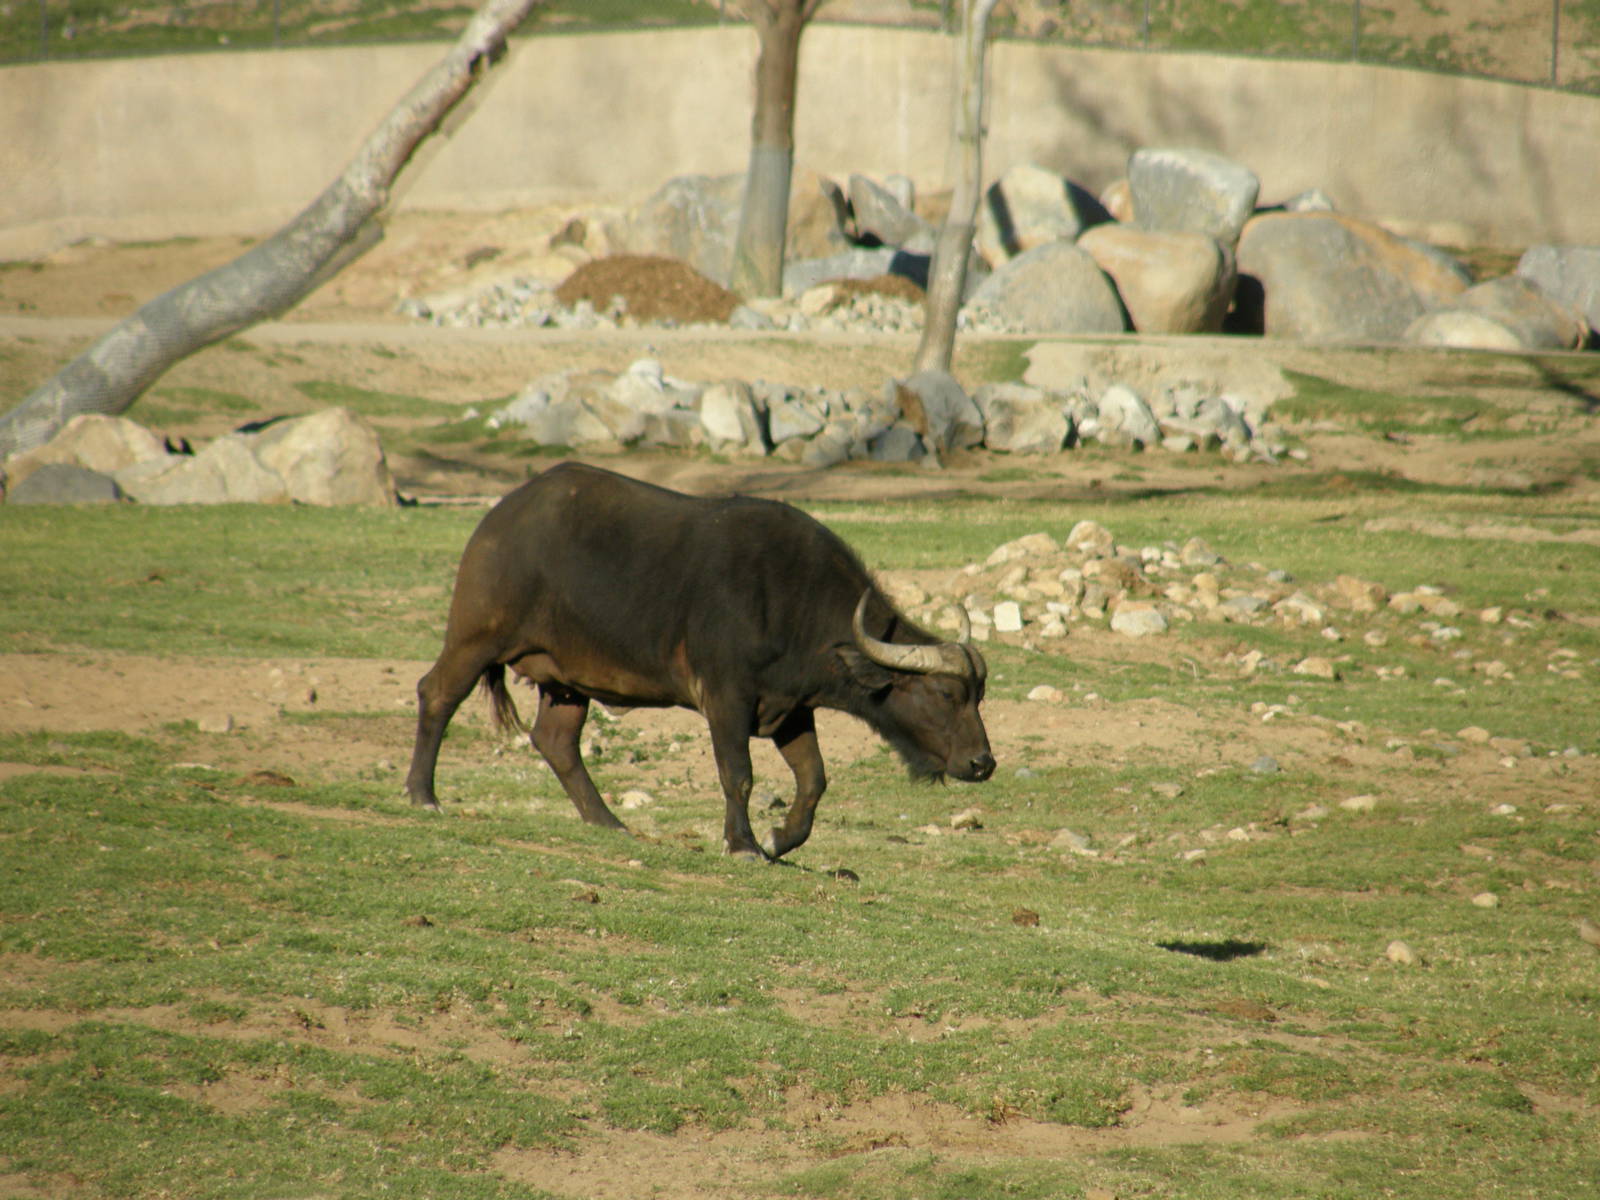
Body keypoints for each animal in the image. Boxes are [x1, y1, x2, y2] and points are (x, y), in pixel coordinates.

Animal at [405, 462, 993, 858]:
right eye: (946, 694)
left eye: (979, 696)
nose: (982, 764)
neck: (790, 600)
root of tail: (501, 517)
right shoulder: (727, 700)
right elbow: (739, 774)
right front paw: (744, 844)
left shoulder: (790, 709)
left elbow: (814, 780)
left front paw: (779, 840)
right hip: (474, 637)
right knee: (437, 693)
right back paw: (422, 795)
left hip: (566, 681)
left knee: (555, 741)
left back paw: (606, 821)